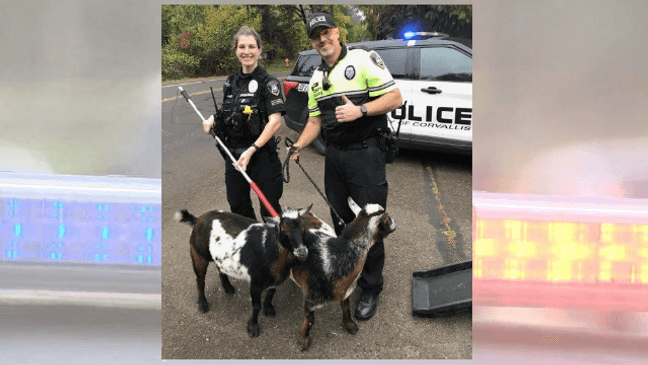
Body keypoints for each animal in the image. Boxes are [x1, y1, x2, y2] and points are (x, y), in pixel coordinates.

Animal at [175, 203, 322, 336]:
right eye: (284, 231)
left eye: (303, 229)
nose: (302, 252)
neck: (268, 247)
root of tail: (197, 219)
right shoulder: (255, 282)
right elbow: (256, 306)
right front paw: (253, 328)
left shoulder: (274, 277)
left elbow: (271, 293)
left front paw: (268, 309)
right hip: (198, 253)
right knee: (200, 279)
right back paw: (202, 304)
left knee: (219, 267)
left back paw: (228, 287)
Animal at [288, 199, 394, 350]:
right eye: (387, 217)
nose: (394, 223)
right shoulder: (311, 299)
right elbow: (310, 321)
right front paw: (303, 339)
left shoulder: (345, 289)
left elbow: (346, 307)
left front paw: (350, 325)